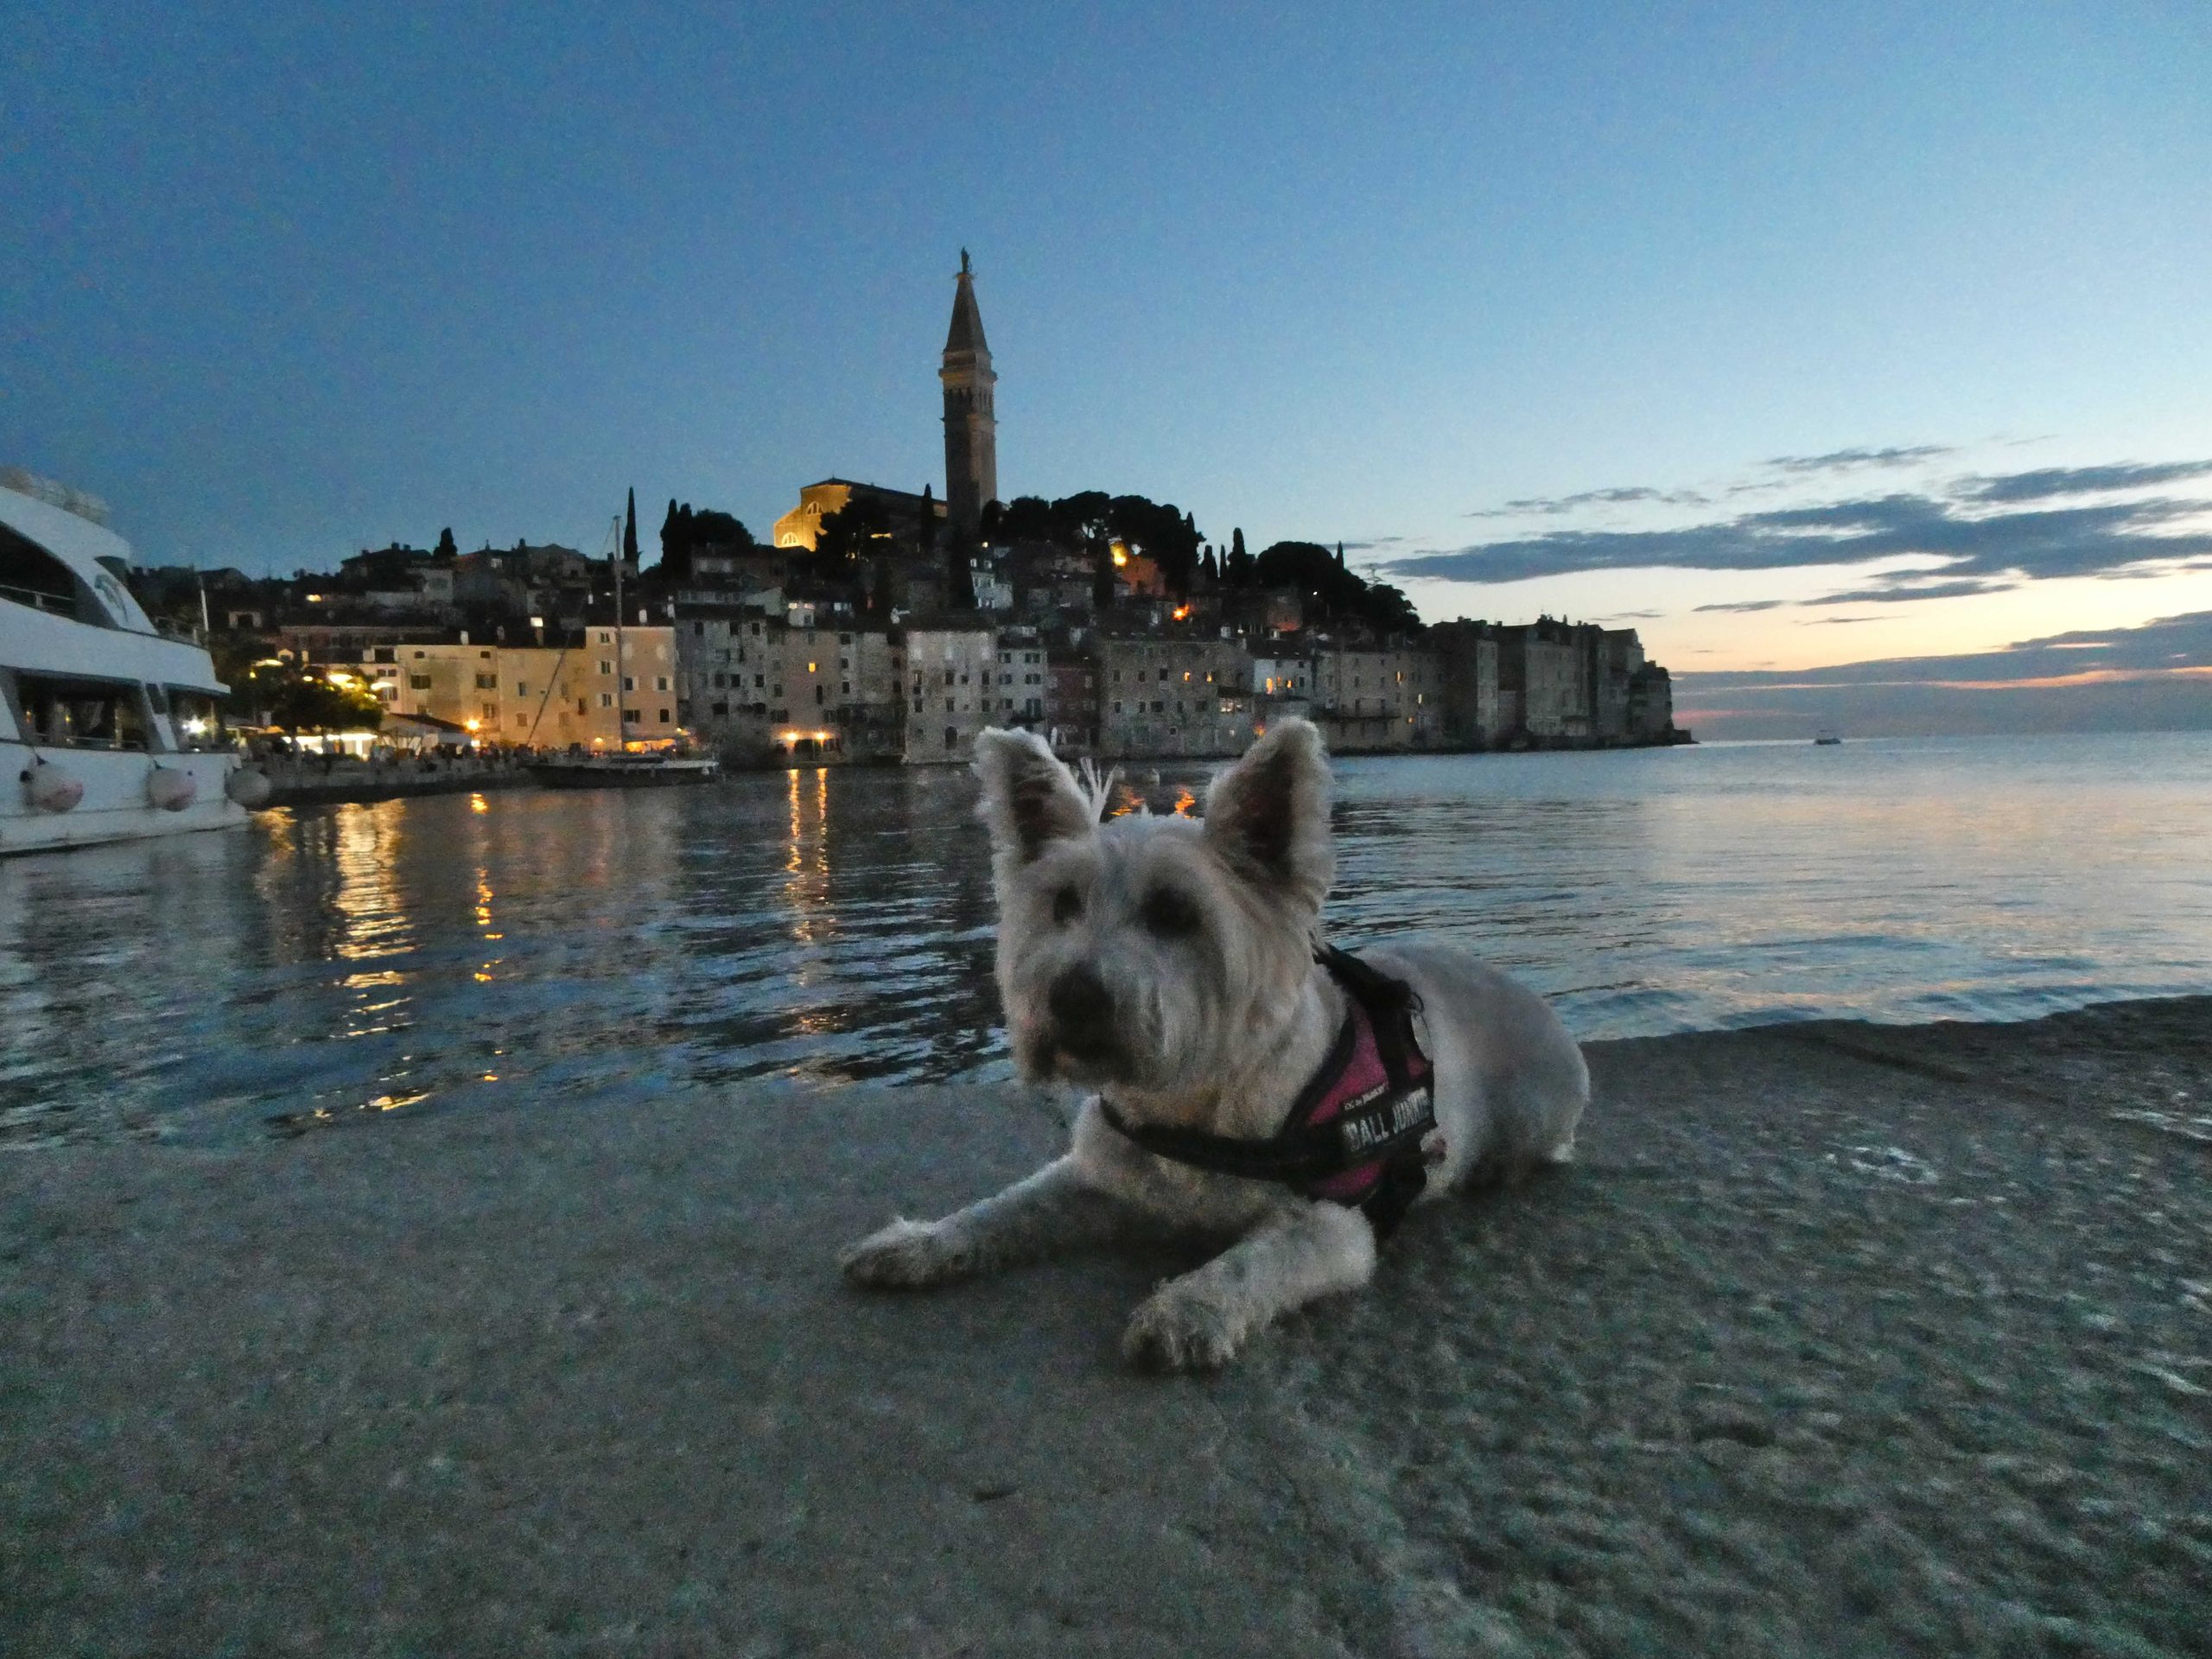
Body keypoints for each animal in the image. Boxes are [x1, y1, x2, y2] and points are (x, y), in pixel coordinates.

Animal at [836, 721, 1583, 1371]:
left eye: (1175, 913)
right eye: (1062, 904)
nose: (1071, 998)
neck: (1194, 1101)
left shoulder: (1334, 1225)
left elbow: (1252, 1262)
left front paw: (1185, 1311)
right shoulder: (1094, 1173)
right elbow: (1006, 1207)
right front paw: (923, 1241)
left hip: (1535, 1108)